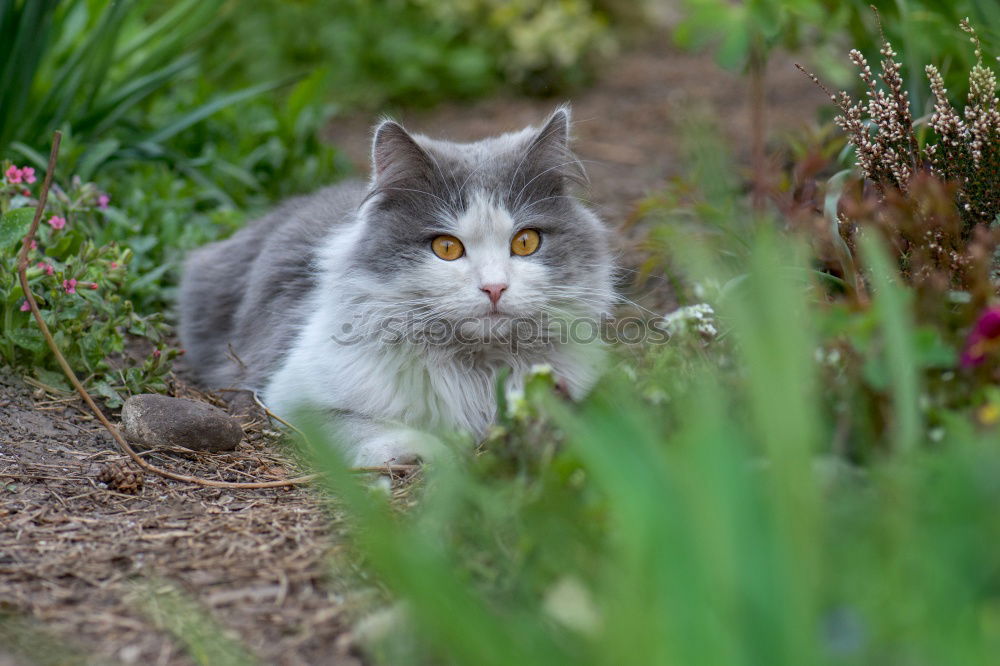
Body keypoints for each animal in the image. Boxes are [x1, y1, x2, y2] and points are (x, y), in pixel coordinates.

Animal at [181, 106, 616, 464]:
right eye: (446, 247)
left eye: (525, 242)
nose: (494, 288)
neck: (476, 369)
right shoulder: (292, 400)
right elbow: (378, 430)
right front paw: (438, 455)